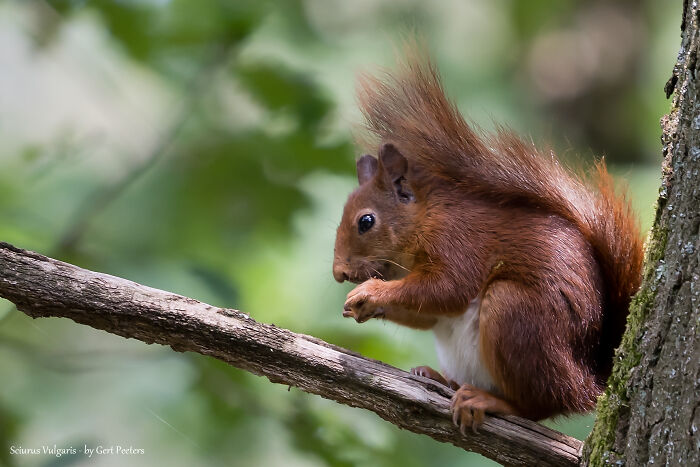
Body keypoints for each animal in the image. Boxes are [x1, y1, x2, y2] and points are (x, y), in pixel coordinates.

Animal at [332, 52, 643, 432]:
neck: (425, 219)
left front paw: (370, 293)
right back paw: (438, 377)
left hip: (517, 316)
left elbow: (447, 289)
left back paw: (488, 399)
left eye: (366, 222)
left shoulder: (459, 241)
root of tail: (588, 378)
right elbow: (428, 312)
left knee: (542, 404)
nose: (338, 273)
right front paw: (361, 305)